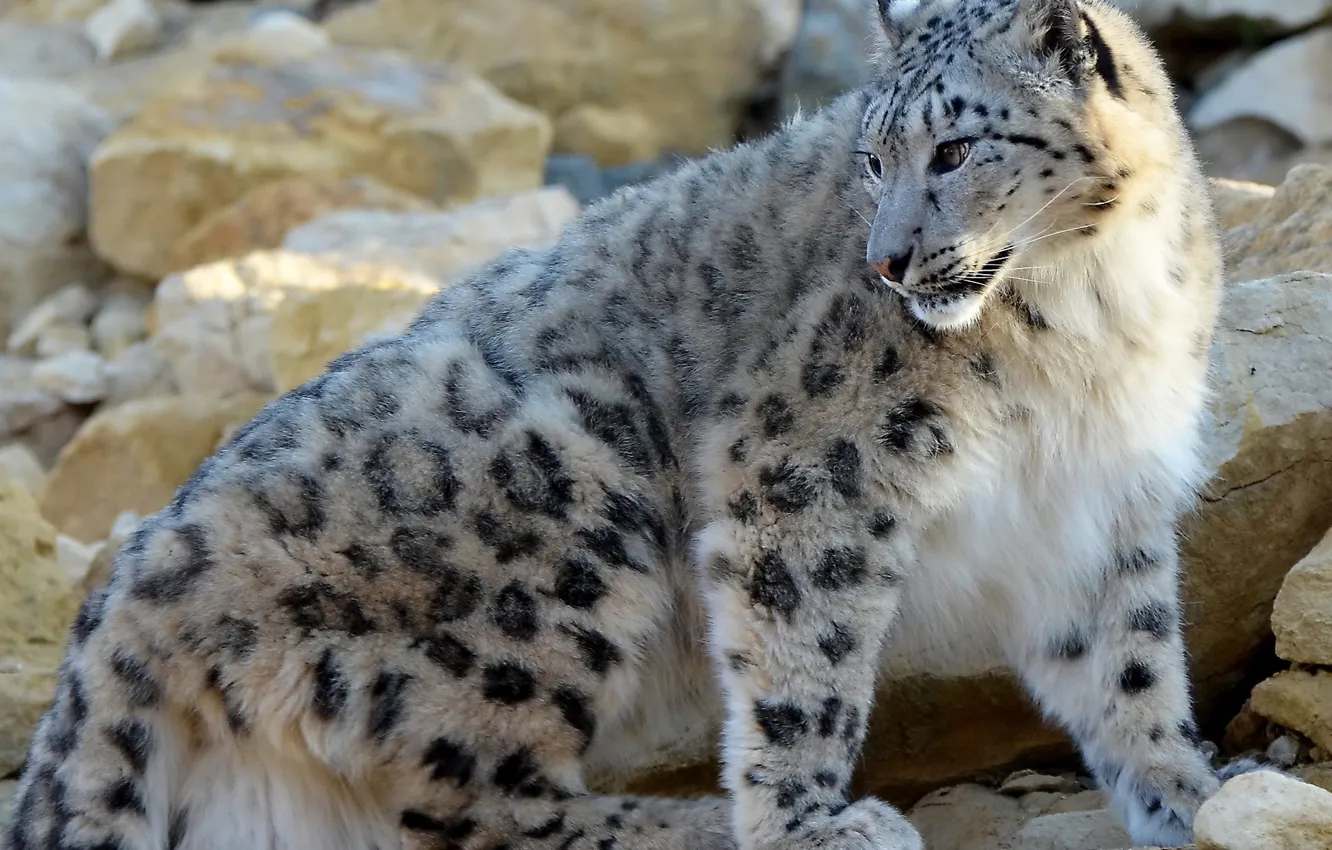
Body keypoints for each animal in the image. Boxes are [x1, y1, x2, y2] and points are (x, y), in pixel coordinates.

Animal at [6, 1, 1259, 849]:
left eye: (954, 148)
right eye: (872, 157)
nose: (888, 261)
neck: (1095, 312)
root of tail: (127, 586)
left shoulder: (1095, 499)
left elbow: (1130, 664)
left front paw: (1193, 794)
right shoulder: (809, 476)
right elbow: (805, 662)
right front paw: (810, 824)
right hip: (563, 492)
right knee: (476, 805)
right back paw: (693, 825)